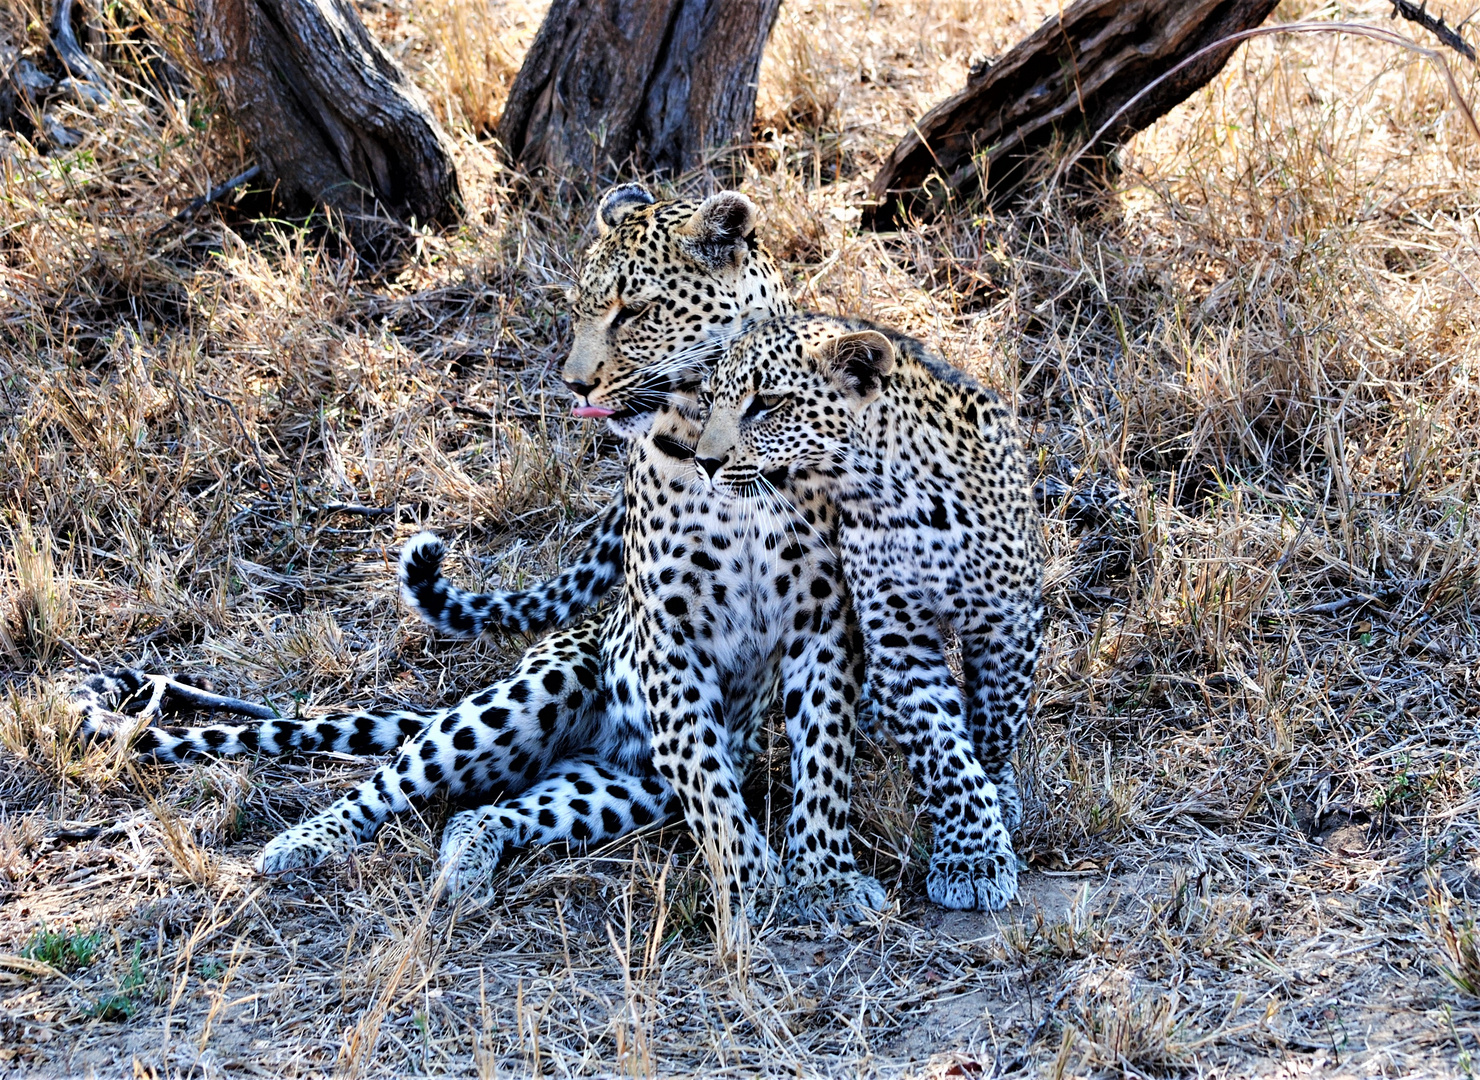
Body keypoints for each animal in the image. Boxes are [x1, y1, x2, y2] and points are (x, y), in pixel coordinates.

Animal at [689, 309, 1041, 911]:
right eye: (711, 399)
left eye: (768, 403)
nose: (703, 463)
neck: (900, 499)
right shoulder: (900, 643)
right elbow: (943, 751)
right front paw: (971, 853)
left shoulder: (1008, 619)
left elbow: (995, 724)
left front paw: (995, 806)